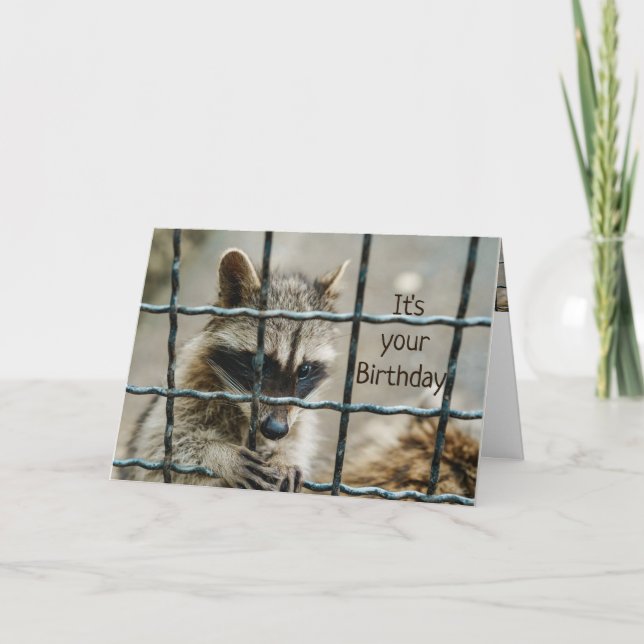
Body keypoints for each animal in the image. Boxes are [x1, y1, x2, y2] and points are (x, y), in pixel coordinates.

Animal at [126, 248, 349, 492]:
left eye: (304, 370)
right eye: (260, 364)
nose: (275, 430)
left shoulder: (299, 415)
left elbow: (297, 440)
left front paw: (283, 456)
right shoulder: (187, 385)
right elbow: (158, 452)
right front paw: (218, 454)